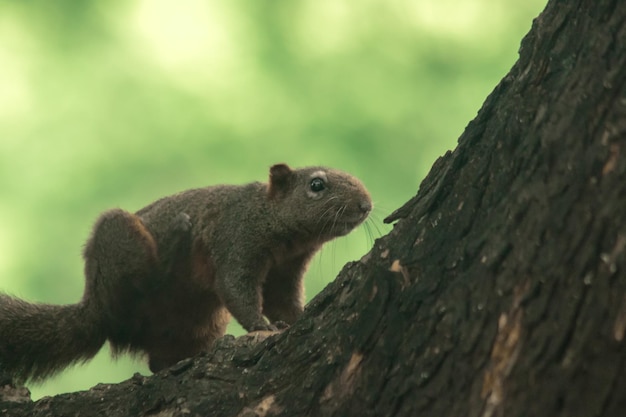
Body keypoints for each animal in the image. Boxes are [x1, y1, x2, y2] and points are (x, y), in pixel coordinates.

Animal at [0, 161, 370, 382]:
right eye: (317, 185)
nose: (366, 205)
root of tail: (94, 306)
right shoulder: (236, 240)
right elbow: (236, 288)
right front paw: (262, 327)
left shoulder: (285, 272)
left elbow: (285, 303)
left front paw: (296, 319)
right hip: (119, 240)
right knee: (141, 282)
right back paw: (177, 239)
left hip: (198, 322)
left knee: (158, 361)